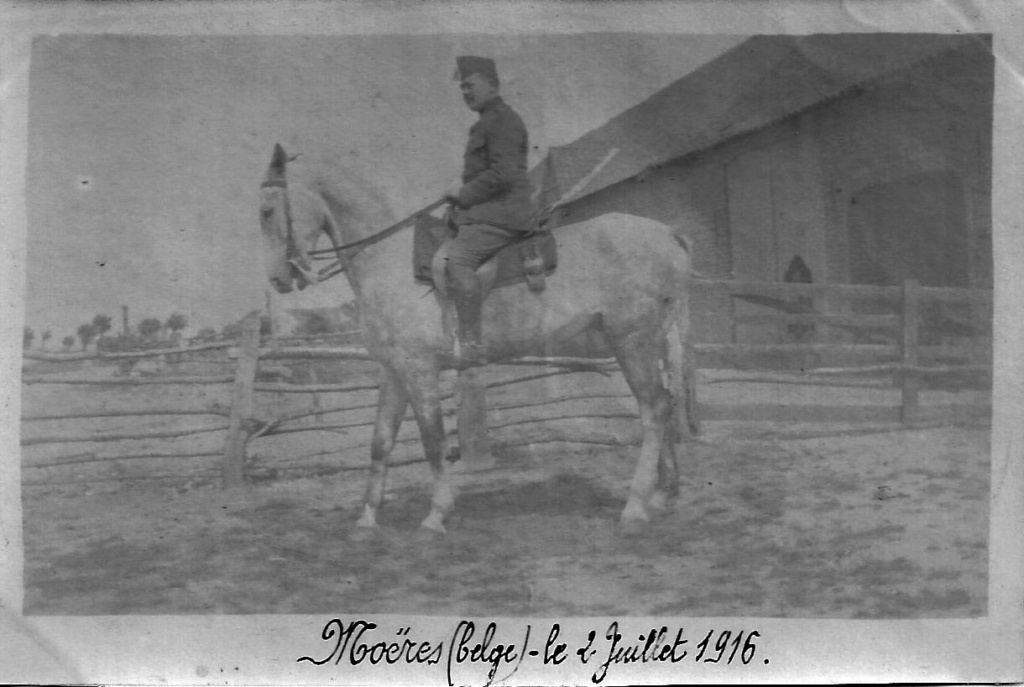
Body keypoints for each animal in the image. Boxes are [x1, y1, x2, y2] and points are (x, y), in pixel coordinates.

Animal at [260, 143, 700, 532]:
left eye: (266, 211)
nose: (278, 280)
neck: (390, 262)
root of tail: (669, 234)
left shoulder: (419, 369)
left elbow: (433, 439)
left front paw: (436, 515)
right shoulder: (394, 370)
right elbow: (380, 441)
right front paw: (367, 518)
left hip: (633, 343)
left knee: (653, 409)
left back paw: (635, 507)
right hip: (652, 344)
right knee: (664, 403)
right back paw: (663, 493)